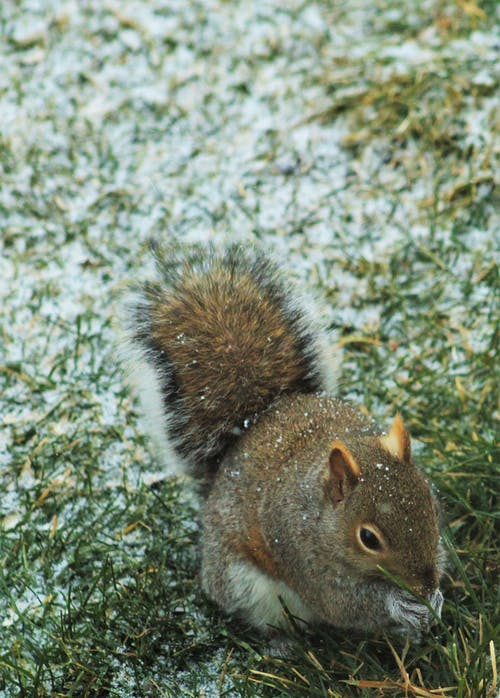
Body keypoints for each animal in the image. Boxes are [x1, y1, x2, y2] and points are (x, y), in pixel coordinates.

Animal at [121, 243, 446, 636]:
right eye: (369, 539)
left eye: (432, 507)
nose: (425, 585)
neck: (321, 514)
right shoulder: (299, 551)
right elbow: (344, 606)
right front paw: (401, 606)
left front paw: (434, 600)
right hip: (247, 586)